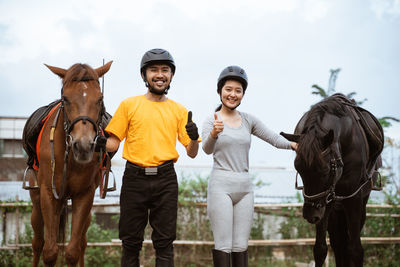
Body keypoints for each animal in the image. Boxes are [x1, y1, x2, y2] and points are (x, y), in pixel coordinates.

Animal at [27, 61, 112, 267]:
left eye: (100, 99)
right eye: (65, 98)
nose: (83, 145)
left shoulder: (84, 195)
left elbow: (73, 251)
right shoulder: (49, 194)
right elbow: (50, 251)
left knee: (82, 242)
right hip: (37, 201)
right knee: (37, 243)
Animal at [282, 93, 384, 266]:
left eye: (325, 171)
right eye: (299, 170)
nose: (310, 215)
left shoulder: (353, 199)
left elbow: (355, 250)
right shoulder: (325, 201)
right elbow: (320, 249)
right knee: (338, 244)